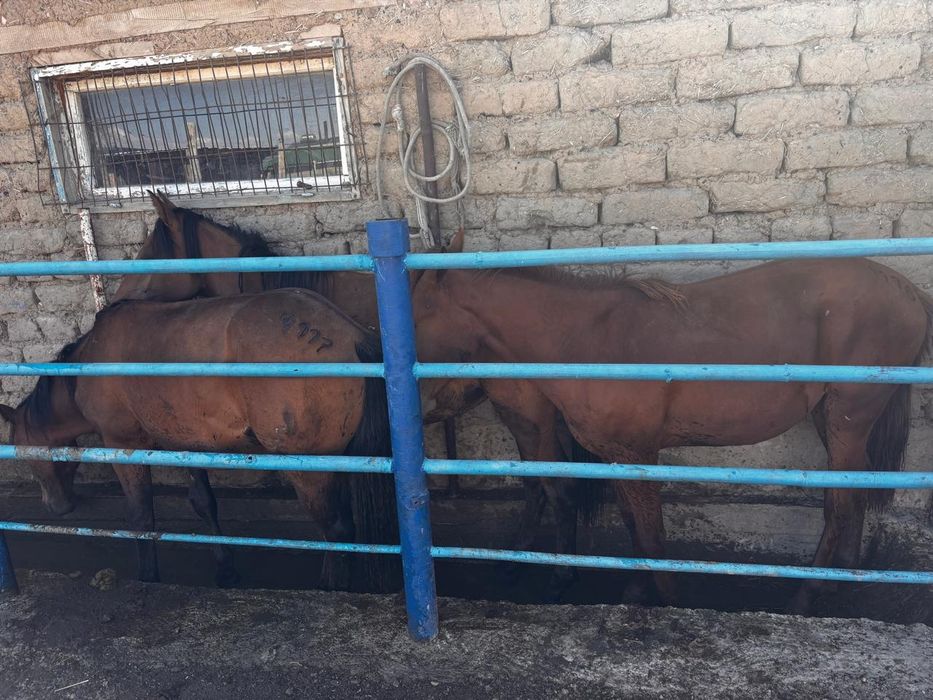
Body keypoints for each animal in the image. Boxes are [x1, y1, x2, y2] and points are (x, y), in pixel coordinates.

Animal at [0, 289, 398, 592]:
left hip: (310, 471)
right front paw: (226, 569)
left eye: (24, 453)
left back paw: (330, 587)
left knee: (336, 530)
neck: (88, 364)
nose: (56, 507)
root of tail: (351, 335)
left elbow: (141, 515)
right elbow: (203, 504)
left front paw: (147, 578)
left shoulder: (123, 443)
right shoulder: (184, 443)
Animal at [412, 246, 933, 612]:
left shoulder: (638, 452)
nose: (426, 402)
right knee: (855, 493)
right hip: (833, 421)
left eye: (414, 311)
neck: (584, 338)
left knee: (838, 506)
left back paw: (805, 597)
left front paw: (668, 599)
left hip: (848, 419)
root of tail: (908, 292)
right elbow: (633, 525)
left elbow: (652, 532)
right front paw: (637, 589)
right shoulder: (616, 454)